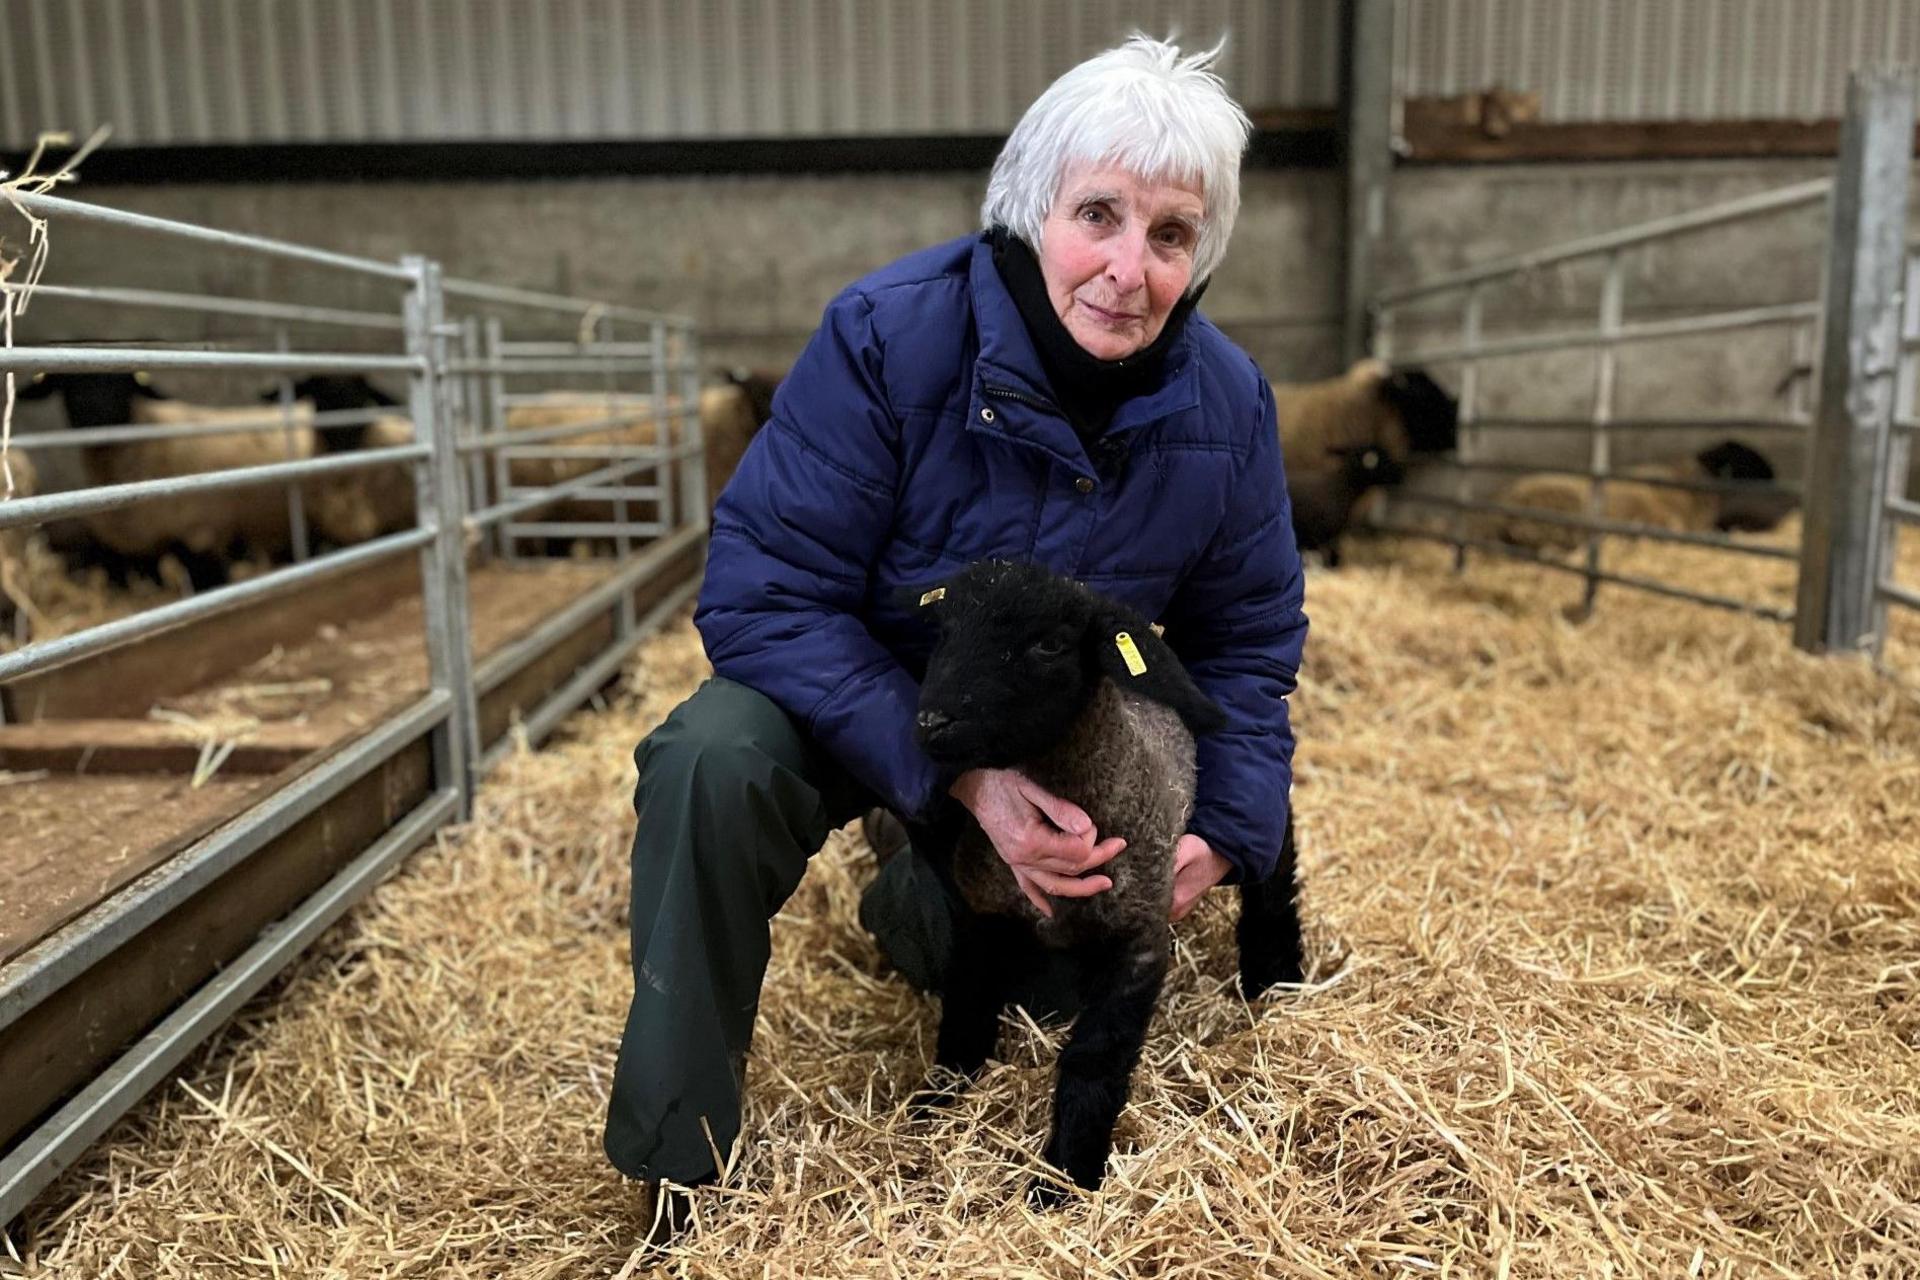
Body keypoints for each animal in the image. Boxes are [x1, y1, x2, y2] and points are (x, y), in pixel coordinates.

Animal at [902, 556, 1305, 1205]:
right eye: (944, 632)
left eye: (1049, 644)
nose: (933, 723)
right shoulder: (981, 916)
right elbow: (963, 1011)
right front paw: (937, 1101)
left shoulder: (1138, 942)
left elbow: (1094, 1059)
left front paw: (1065, 1176)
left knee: (1273, 869)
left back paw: (1275, 976)